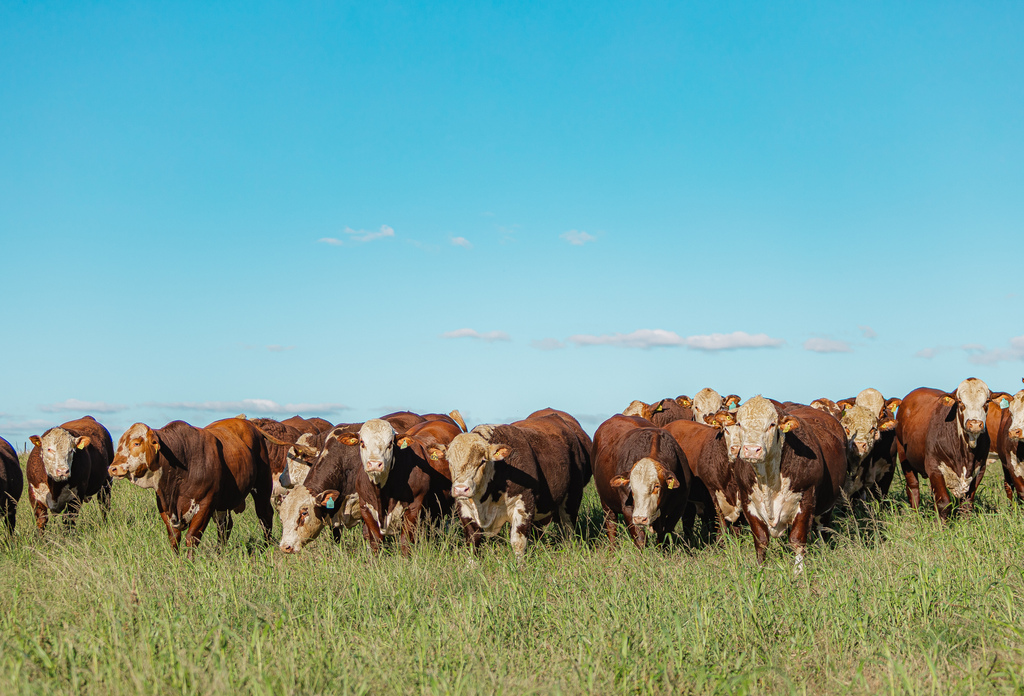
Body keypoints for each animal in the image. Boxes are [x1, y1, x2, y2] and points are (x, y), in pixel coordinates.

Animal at [108, 415, 272, 556]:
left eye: (136, 443)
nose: (113, 468)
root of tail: (249, 424)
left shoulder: (205, 504)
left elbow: (192, 537)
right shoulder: (164, 506)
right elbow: (174, 538)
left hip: (262, 488)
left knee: (265, 517)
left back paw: (267, 548)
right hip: (223, 504)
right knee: (225, 526)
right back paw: (219, 553)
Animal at [434, 413, 593, 552]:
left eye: (482, 461)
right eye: (449, 461)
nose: (461, 489)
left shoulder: (523, 504)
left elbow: (518, 542)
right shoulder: (465, 508)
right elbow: (473, 541)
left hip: (572, 500)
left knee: (568, 529)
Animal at [589, 413, 692, 548]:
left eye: (657, 486)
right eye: (631, 487)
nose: (640, 518)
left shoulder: (678, 507)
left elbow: (663, 537)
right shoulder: (628, 509)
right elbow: (640, 538)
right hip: (606, 502)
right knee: (611, 526)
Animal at [733, 397, 843, 569]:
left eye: (772, 424)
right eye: (739, 424)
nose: (751, 450)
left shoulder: (806, 499)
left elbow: (797, 540)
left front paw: (798, 571)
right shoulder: (747, 501)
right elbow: (761, 540)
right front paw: (760, 570)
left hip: (826, 508)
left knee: (822, 531)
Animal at [897, 378, 999, 519]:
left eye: (987, 401)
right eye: (960, 401)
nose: (974, 424)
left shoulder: (980, 468)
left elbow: (966, 504)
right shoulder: (934, 467)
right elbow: (944, 503)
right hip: (904, 457)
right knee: (913, 489)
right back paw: (916, 517)